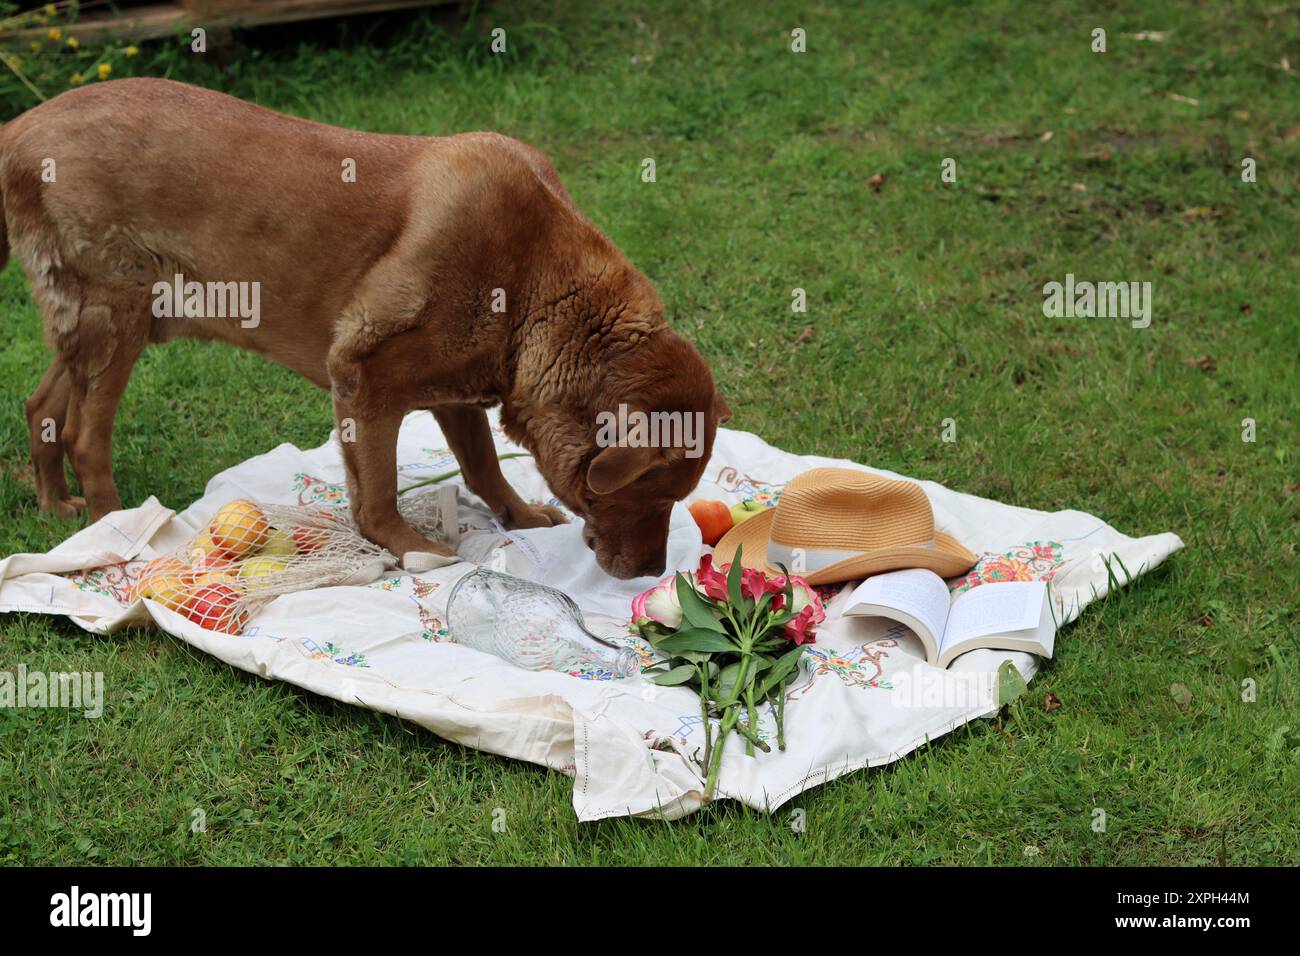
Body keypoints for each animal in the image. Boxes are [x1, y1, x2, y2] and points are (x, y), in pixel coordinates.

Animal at [0, 78, 728, 580]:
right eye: (653, 495)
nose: (651, 573)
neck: (536, 287)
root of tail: (19, 127)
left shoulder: (455, 388)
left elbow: (484, 464)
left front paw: (518, 516)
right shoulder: (364, 378)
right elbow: (377, 492)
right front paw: (408, 548)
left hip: (112, 321)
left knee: (42, 405)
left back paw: (56, 507)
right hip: (116, 313)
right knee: (84, 436)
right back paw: (114, 530)